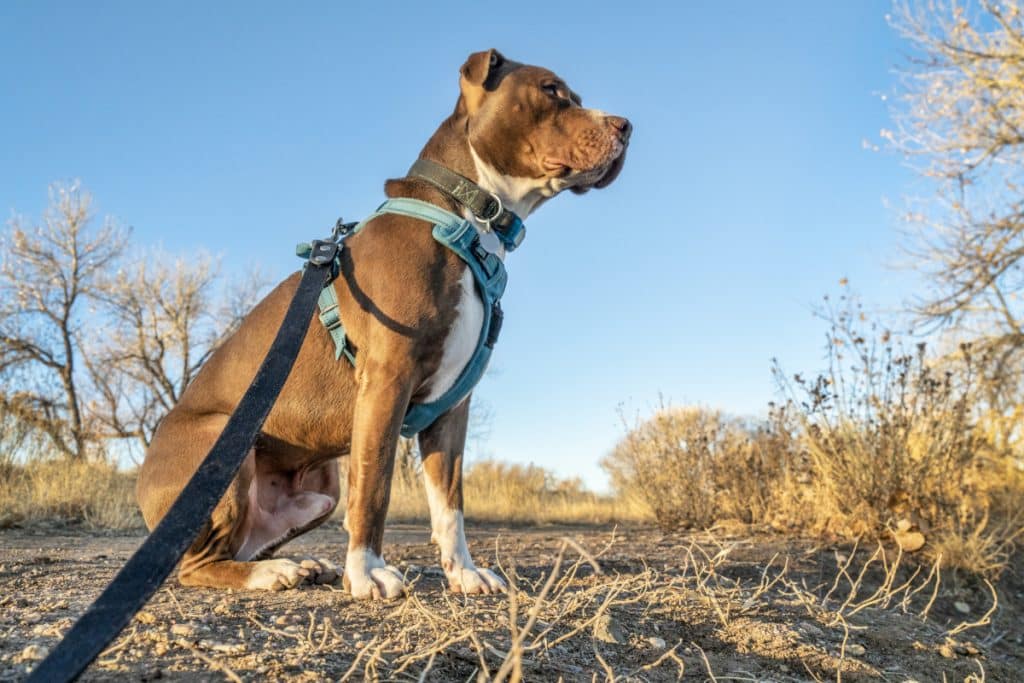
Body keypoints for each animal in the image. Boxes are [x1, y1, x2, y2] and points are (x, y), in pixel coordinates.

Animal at [136, 50, 626, 602]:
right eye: (551, 91)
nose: (626, 126)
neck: (465, 218)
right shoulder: (387, 381)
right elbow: (374, 487)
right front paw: (368, 572)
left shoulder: (451, 408)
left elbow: (450, 503)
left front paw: (463, 573)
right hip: (222, 450)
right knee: (196, 564)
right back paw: (271, 573)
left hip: (320, 489)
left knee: (243, 545)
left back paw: (299, 564)